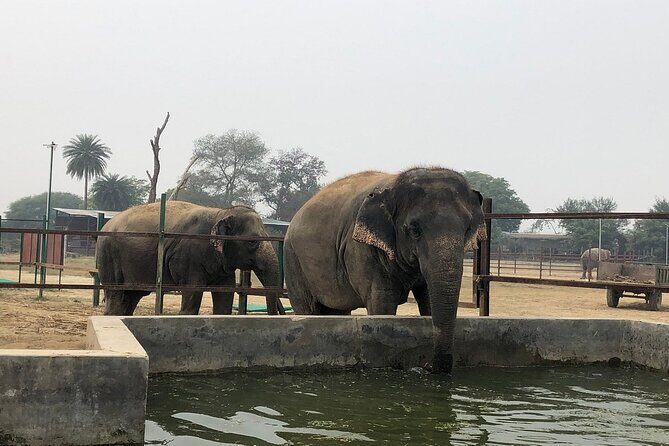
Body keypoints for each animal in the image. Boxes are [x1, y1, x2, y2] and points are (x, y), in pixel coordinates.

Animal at [97, 201, 280, 316]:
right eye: (252, 242)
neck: (220, 212)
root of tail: (105, 226)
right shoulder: (188, 258)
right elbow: (192, 295)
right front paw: (185, 314)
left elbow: (224, 298)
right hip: (108, 257)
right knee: (116, 296)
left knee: (131, 297)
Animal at [284, 167, 486, 374]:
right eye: (414, 230)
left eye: (468, 229)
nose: (428, 366)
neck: (395, 184)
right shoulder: (361, 249)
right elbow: (382, 302)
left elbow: (428, 297)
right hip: (292, 259)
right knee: (307, 307)